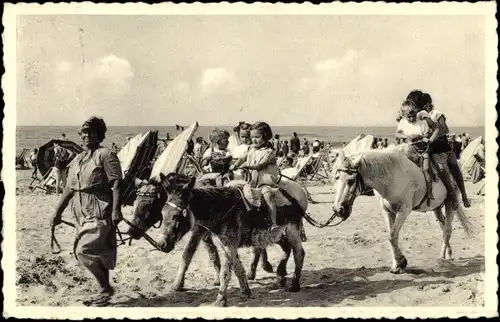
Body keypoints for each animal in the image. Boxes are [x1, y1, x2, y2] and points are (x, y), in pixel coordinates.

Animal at [332, 146, 472, 274]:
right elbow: (392, 236)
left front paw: (401, 262)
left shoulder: (403, 211)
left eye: (350, 181)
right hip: (436, 207)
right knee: (443, 227)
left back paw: (442, 258)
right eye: (337, 178)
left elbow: (392, 235)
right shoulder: (387, 211)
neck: (390, 177)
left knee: (448, 229)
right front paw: (397, 265)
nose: (338, 210)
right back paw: (448, 253)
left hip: (450, 204)